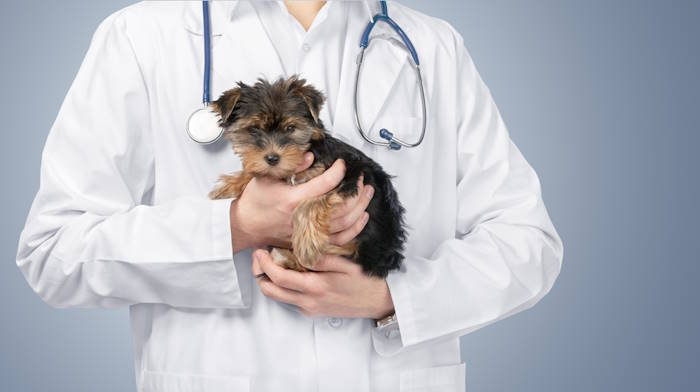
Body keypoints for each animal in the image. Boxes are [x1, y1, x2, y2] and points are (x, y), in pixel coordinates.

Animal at [208, 76, 404, 278]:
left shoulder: (347, 174)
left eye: (290, 128)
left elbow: (311, 202)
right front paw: (229, 186)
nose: (272, 158)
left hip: (372, 240)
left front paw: (307, 244)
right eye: (254, 129)